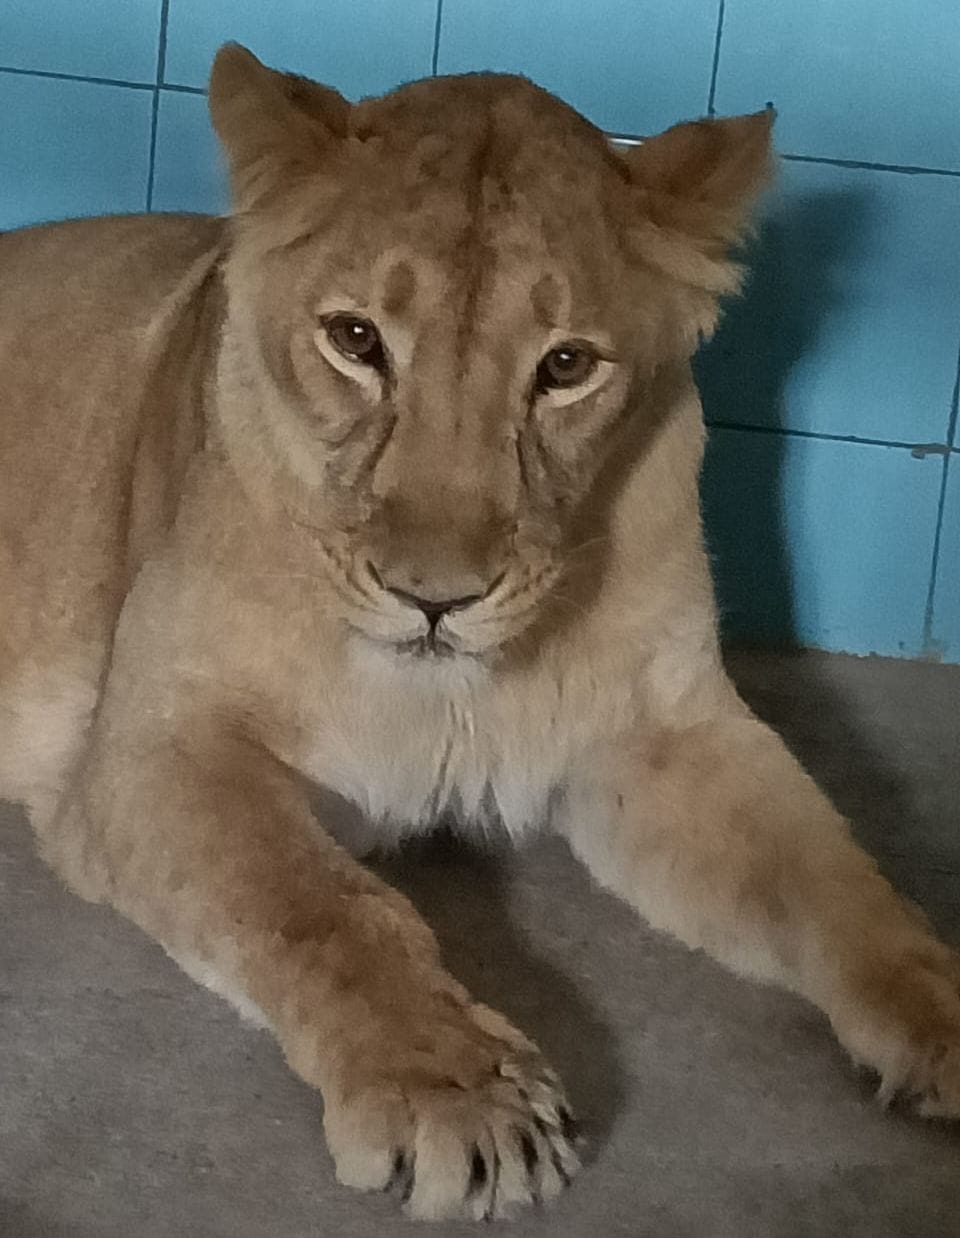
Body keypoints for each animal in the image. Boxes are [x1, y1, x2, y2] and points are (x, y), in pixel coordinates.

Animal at [1, 43, 958, 1223]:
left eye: (566, 366)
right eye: (355, 339)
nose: (435, 598)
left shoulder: (665, 732)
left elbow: (833, 876)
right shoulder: (150, 748)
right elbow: (322, 905)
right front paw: (460, 1096)